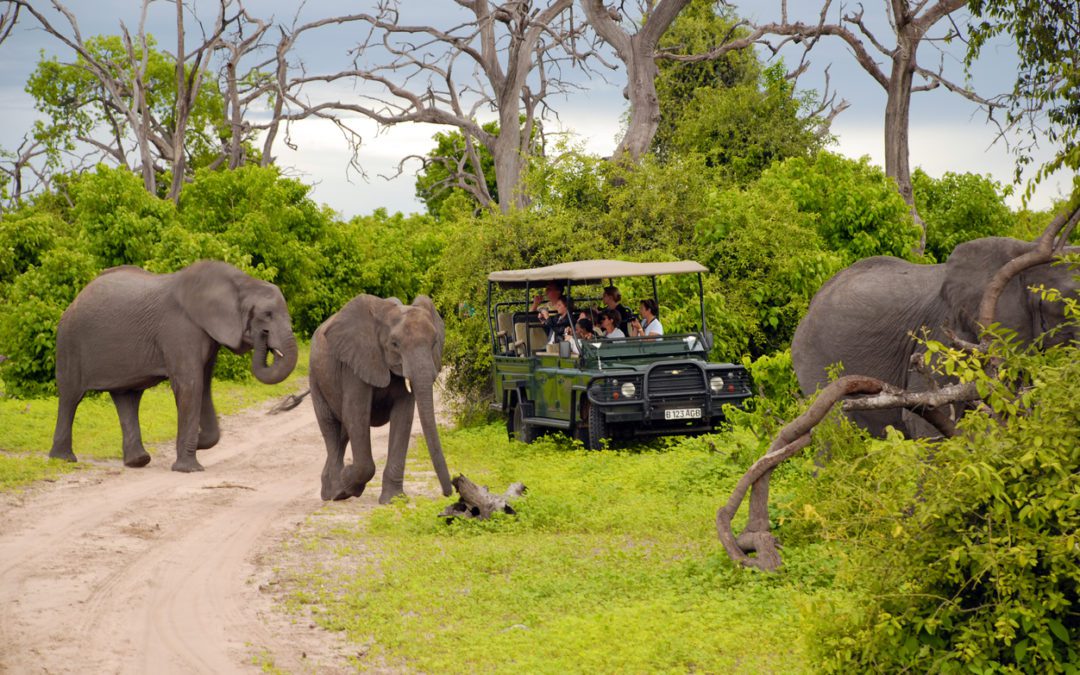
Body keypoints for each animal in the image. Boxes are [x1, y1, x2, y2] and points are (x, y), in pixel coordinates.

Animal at [49, 260, 298, 470]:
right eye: (266, 315)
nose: (263, 337)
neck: (241, 282)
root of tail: (76, 299)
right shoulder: (179, 328)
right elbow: (190, 385)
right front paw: (189, 468)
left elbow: (203, 386)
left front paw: (198, 442)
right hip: (69, 342)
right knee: (71, 396)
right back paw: (64, 459)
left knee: (127, 398)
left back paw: (138, 461)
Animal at [311, 291, 453, 503]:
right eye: (394, 344)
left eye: (434, 342)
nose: (448, 493)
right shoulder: (356, 362)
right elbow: (356, 413)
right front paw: (348, 482)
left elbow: (404, 416)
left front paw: (393, 500)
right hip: (316, 378)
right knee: (331, 429)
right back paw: (337, 493)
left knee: (343, 434)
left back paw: (331, 490)